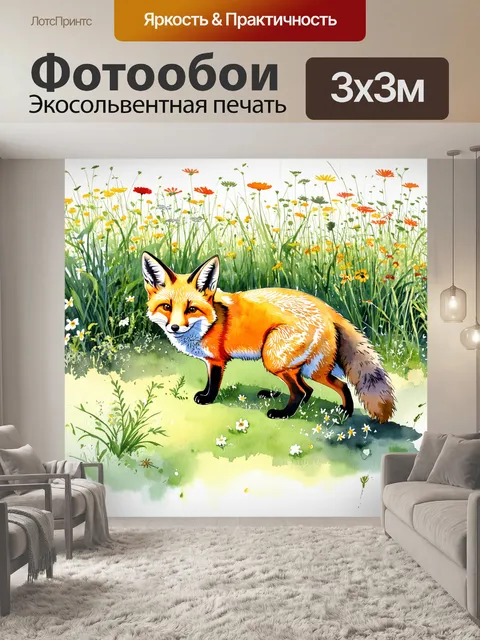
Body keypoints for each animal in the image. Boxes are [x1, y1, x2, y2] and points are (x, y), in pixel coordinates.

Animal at [142, 252, 396, 422]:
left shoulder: (217, 360)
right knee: (310, 390)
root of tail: (326, 308)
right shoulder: (210, 360)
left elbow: (213, 384)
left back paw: (288, 413)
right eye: (166, 307)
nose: (175, 327)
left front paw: (207, 399)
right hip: (300, 366)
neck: (210, 321)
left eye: (191, 309)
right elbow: (208, 382)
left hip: (276, 358)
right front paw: (204, 394)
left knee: (315, 388)